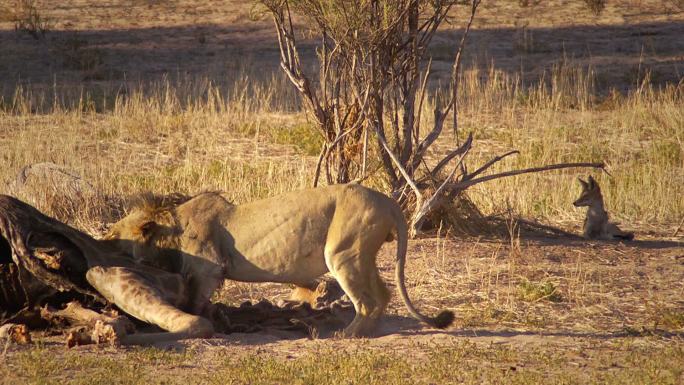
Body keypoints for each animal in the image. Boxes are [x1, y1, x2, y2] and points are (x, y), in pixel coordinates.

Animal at [107, 183, 454, 336]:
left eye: (111, 234)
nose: (101, 240)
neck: (171, 227)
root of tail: (387, 201)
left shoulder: (207, 271)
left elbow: (194, 303)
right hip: (361, 255)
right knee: (383, 295)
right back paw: (371, 331)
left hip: (343, 253)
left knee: (367, 301)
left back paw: (348, 334)